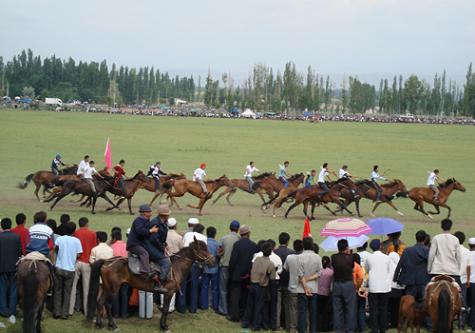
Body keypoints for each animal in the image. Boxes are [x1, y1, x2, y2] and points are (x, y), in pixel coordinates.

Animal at [88, 239, 216, 330]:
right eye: (203, 250)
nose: (213, 261)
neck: (176, 266)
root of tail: (106, 261)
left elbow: (164, 309)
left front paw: (162, 324)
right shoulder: (169, 293)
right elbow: (165, 309)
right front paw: (164, 326)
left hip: (106, 287)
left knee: (100, 302)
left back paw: (99, 324)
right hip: (113, 289)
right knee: (107, 304)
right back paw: (112, 325)